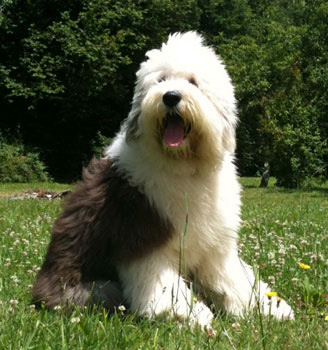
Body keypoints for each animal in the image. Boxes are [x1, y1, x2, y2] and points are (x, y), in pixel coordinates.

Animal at [32, 31, 294, 330]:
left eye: (192, 81)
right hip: (94, 289)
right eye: (160, 80)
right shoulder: (143, 236)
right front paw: (191, 316)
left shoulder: (215, 244)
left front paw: (262, 307)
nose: (170, 97)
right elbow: (164, 285)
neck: (183, 165)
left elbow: (232, 278)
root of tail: (39, 290)